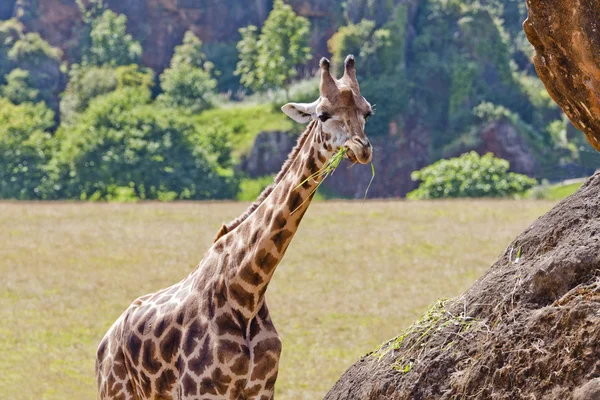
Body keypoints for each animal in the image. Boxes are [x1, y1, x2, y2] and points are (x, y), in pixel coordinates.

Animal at [95, 54, 372, 400]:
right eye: (323, 114)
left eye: (367, 111)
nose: (362, 149)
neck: (247, 288)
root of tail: (103, 346)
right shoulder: (200, 390)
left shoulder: (261, 389)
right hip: (116, 391)